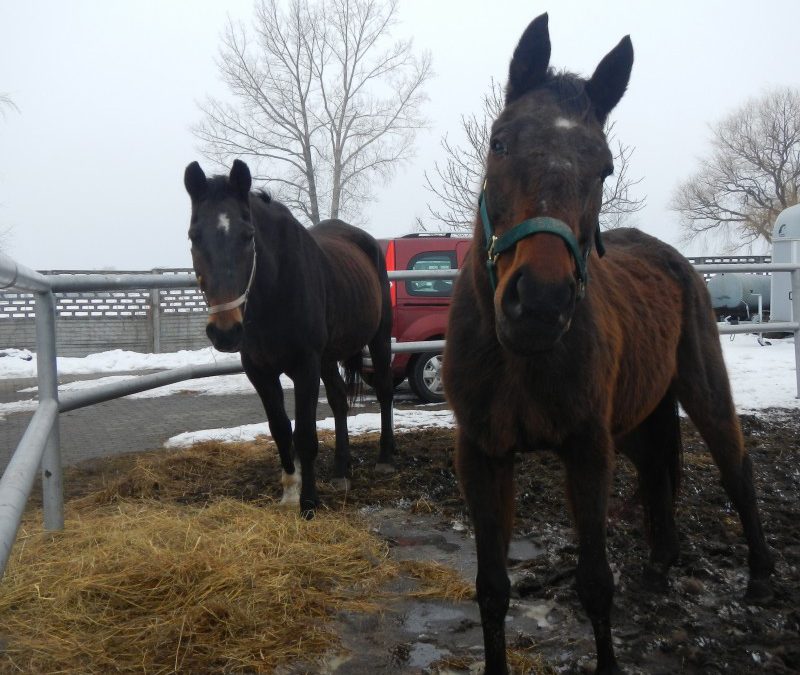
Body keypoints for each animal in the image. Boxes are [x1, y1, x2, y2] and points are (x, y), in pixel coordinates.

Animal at [182, 160, 394, 516]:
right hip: (328, 358)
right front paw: (290, 492)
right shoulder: (259, 370)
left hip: (379, 337)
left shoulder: (305, 365)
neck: (275, 290)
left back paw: (386, 458)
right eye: (194, 235)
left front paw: (308, 503)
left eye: (248, 235)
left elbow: (305, 434)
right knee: (338, 399)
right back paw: (341, 471)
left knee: (385, 391)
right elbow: (281, 429)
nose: (225, 331)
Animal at [444, 11, 776, 675]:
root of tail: (675, 259)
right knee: (655, 471)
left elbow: (595, 583)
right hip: (637, 416)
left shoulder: (587, 449)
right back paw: (660, 564)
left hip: (703, 389)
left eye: (604, 167)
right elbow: (491, 589)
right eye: (499, 142)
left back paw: (757, 575)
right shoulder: (483, 454)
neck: (516, 357)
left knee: (736, 467)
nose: (540, 305)